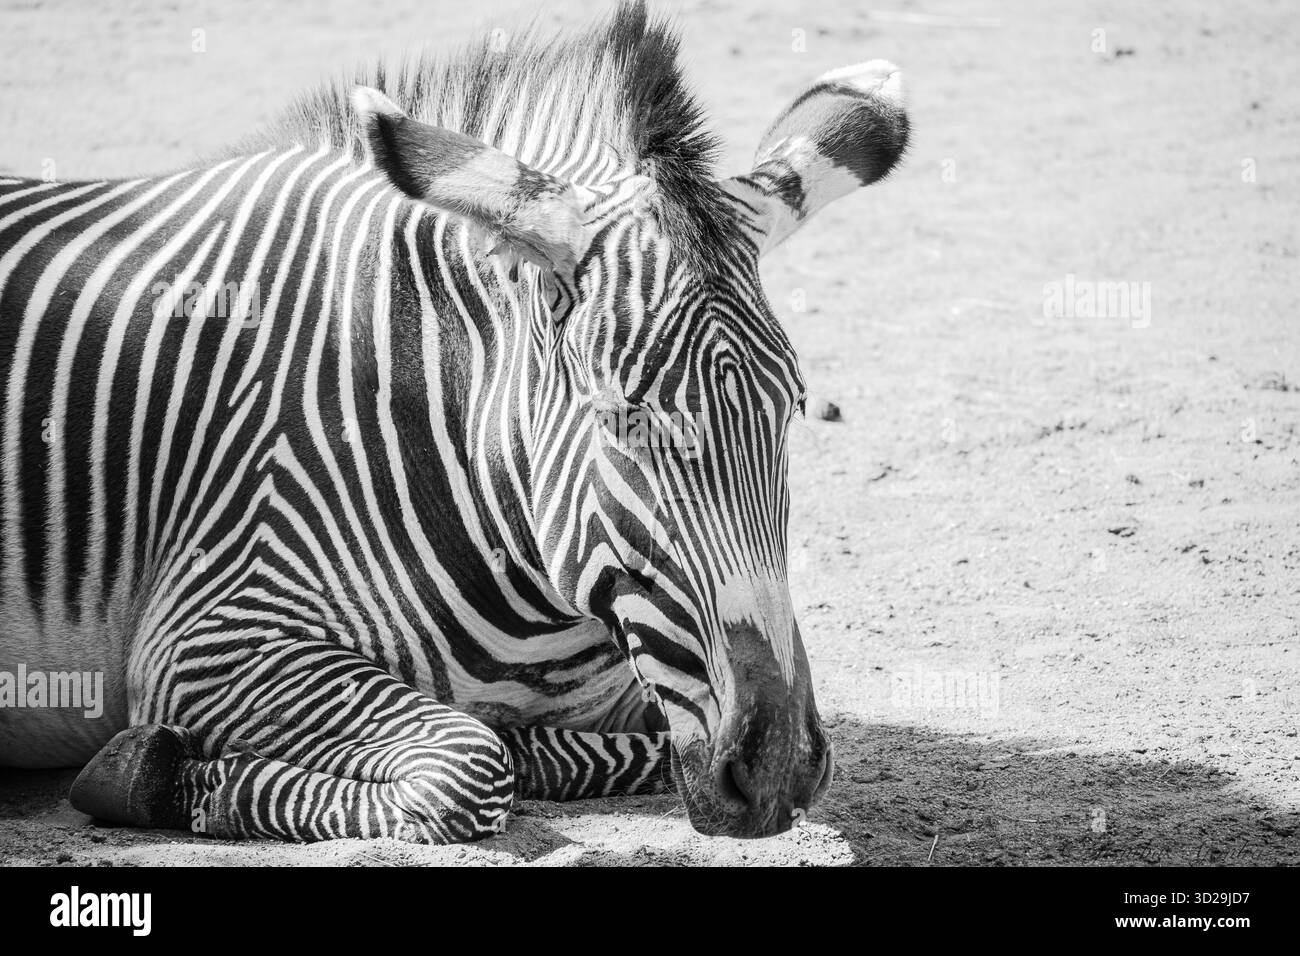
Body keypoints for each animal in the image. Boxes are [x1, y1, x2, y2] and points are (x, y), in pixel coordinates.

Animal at [0, 3, 908, 842]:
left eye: (792, 409)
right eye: (623, 415)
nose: (778, 767)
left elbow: (586, 741)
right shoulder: (213, 625)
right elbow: (471, 763)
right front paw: (157, 775)